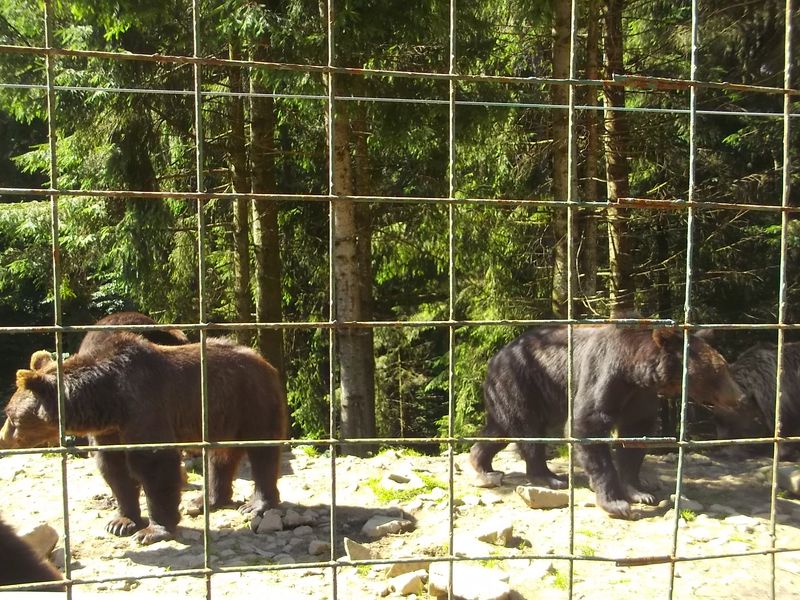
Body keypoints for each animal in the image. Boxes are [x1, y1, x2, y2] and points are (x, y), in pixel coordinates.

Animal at [0, 333, 287, 545]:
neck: (107, 399)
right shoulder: (110, 431)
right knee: (220, 456)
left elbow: (154, 464)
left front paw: (152, 530)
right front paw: (120, 522)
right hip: (222, 415)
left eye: (10, 416)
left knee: (261, 451)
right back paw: (205, 501)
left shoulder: (144, 406)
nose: (3, 438)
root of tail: (265, 361)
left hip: (251, 400)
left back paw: (255, 505)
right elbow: (114, 468)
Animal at [469, 325, 744, 519]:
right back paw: (550, 478)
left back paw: (482, 465)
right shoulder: (604, 374)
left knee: (499, 429)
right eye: (719, 370)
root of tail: (494, 359)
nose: (740, 397)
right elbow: (587, 424)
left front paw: (640, 491)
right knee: (530, 431)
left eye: (724, 366)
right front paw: (616, 503)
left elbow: (635, 435)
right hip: (524, 383)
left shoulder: (639, 397)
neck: (635, 372)